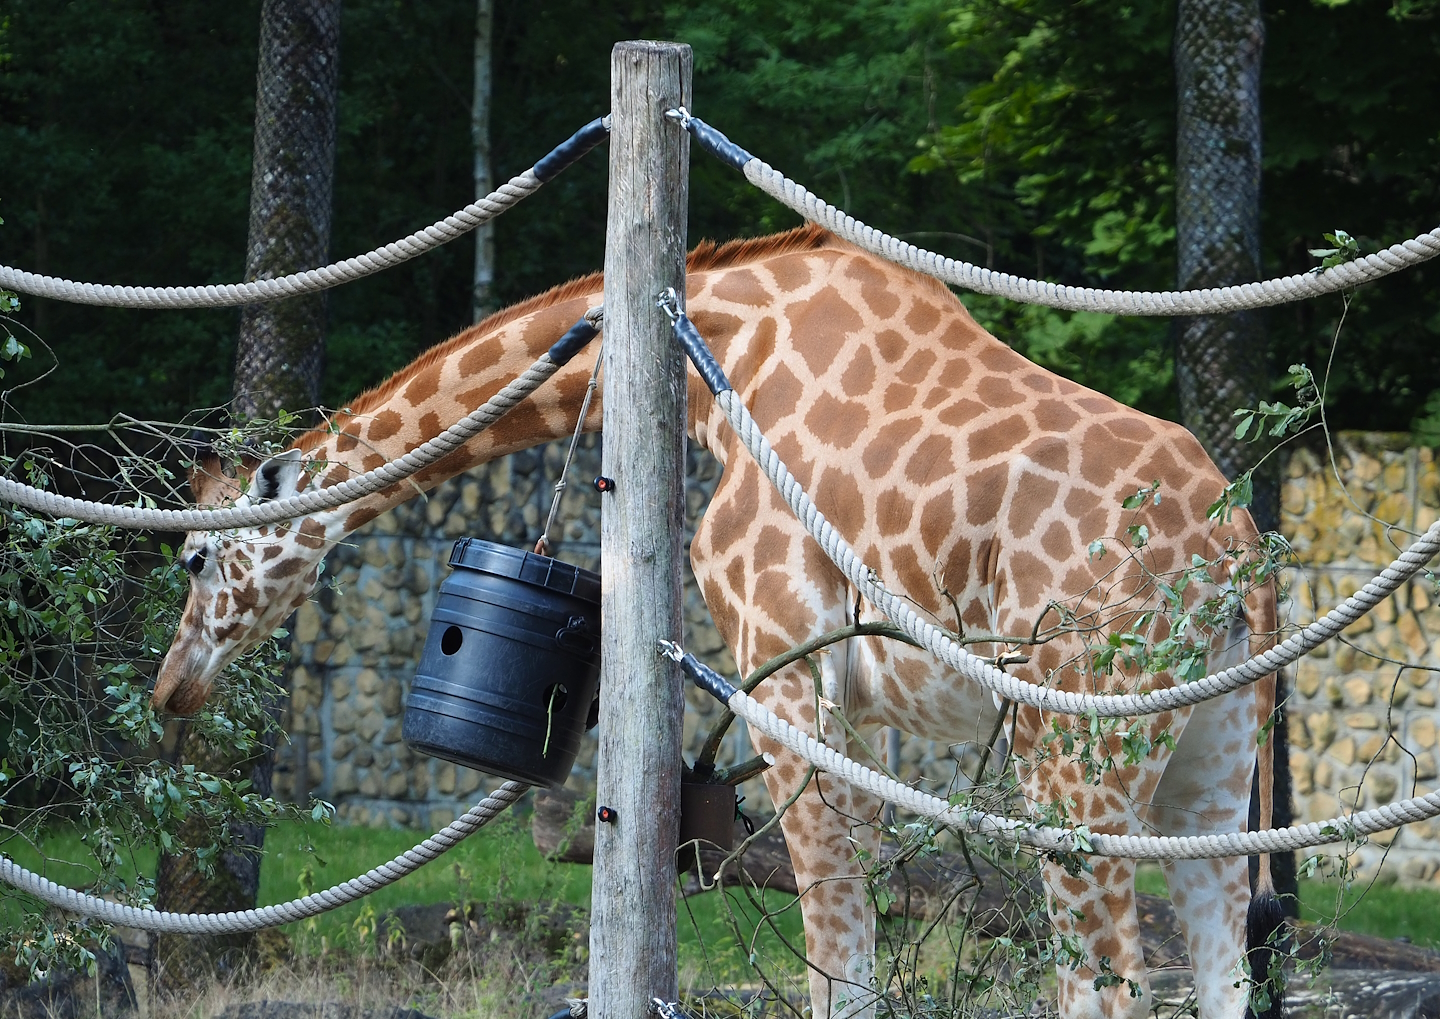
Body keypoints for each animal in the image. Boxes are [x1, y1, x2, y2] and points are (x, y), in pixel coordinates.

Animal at [155, 225, 1278, 1019]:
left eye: (196, 555)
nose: (172, 688)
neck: (714, 359)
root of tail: (1236, 555)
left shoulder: (777, 662)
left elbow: (837, 954)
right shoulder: (858, 704)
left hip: (1074, 744)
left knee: (1105, 975)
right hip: (1214, 758)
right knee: (1219, 966)